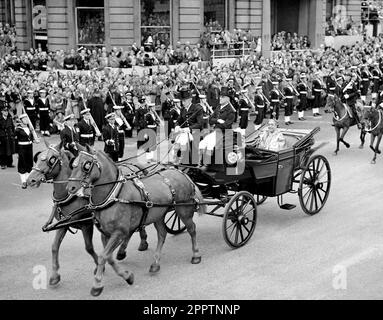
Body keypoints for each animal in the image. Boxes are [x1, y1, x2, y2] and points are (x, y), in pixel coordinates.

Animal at [27, 142, 149, 284]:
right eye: (37, 157)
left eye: (51, 159)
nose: (30, 180)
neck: (71, 196)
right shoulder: (64, 224)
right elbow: (54, 246)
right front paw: (55, 275)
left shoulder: (86, 224)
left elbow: (89, 248)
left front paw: (99, 266)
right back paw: (125, 249)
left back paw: (139, 243)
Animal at [67, 146, 204, 296]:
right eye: (73, 164)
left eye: (86, 165)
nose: (70, 188)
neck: (114, 195)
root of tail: (181, 172)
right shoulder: (106, 234)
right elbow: (109, 257)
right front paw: (127, 276)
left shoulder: (119, 232)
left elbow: (104, 256)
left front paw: (97, 285)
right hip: (158, 215)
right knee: (162, 234)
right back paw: (155, 263)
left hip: (183, 209)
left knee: (192, 229)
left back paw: (196, 254)